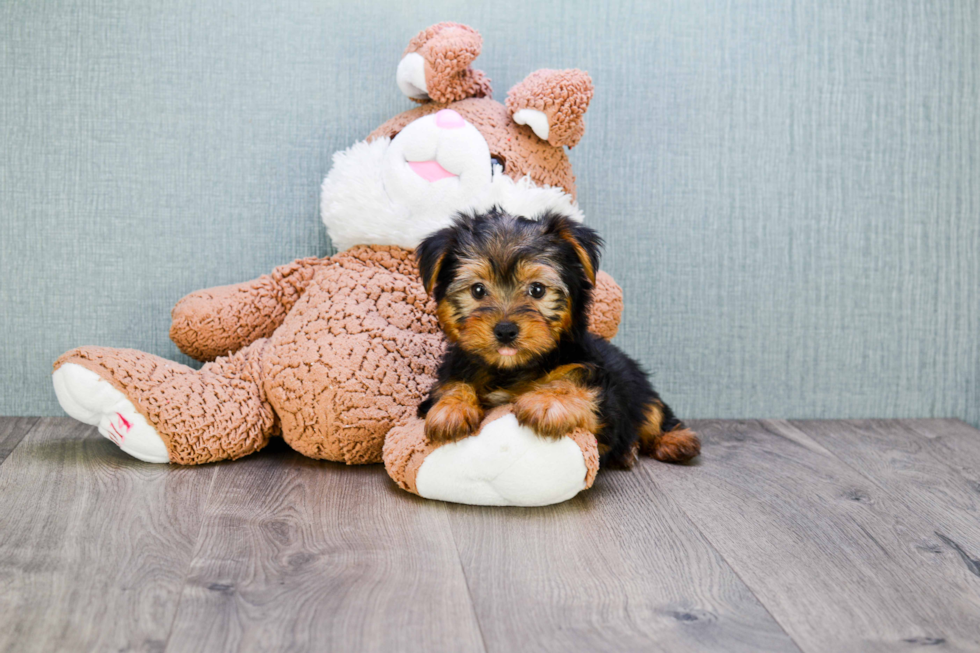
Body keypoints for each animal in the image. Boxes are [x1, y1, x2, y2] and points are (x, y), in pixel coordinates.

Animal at [418, 209, 700, 468]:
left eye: (537, 289)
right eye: (477, 290)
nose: (506, 330)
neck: (512, 369)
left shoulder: (602, 410)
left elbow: (571, 381)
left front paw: (547, 401)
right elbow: (452, 384)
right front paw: (451, 408)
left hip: (638, 388)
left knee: (654, 415)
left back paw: (674, 442)